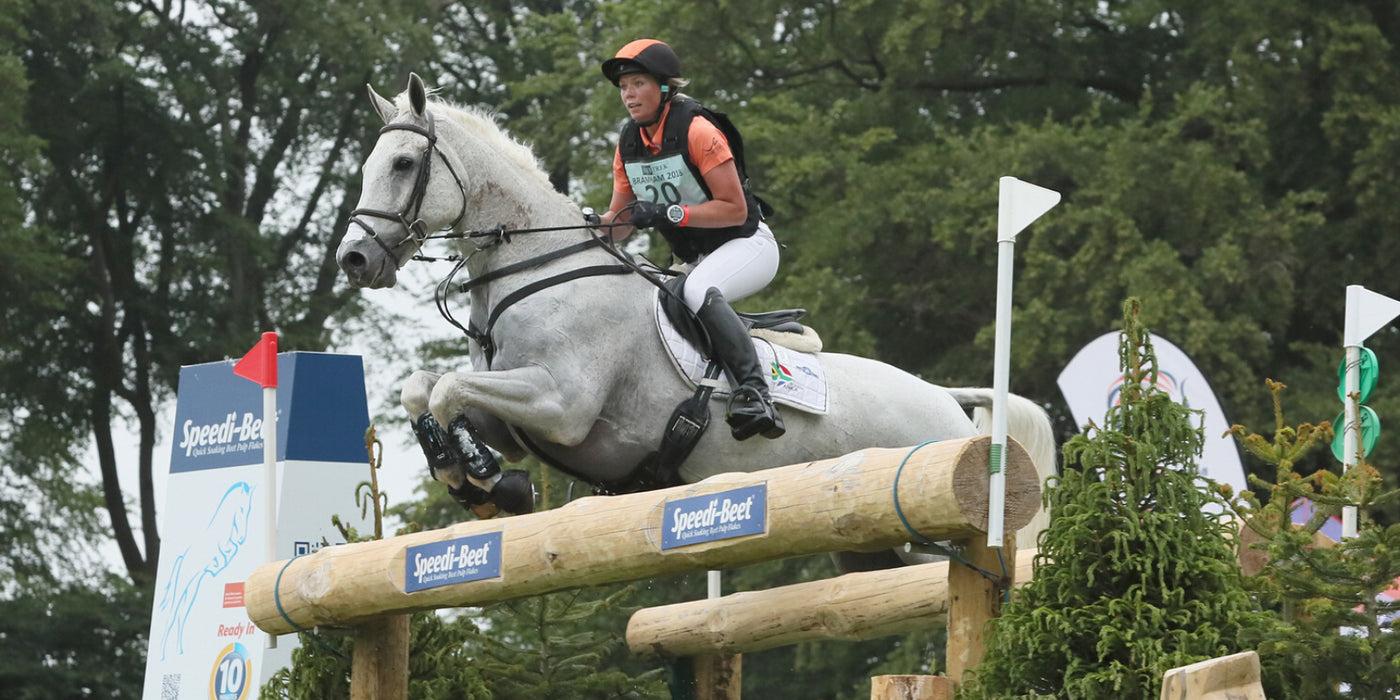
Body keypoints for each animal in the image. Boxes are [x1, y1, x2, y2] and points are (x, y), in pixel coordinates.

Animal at [335, 74, 1056, 560]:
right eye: (368, 164)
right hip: (869, 543)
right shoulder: (518, 418)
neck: (533, 268)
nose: (353, 259)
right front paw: (476, 477)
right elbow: (427, 392)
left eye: (404, 163)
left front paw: (483, 479)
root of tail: (951, 405)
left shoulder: (561, 406)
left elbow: (448, 389)